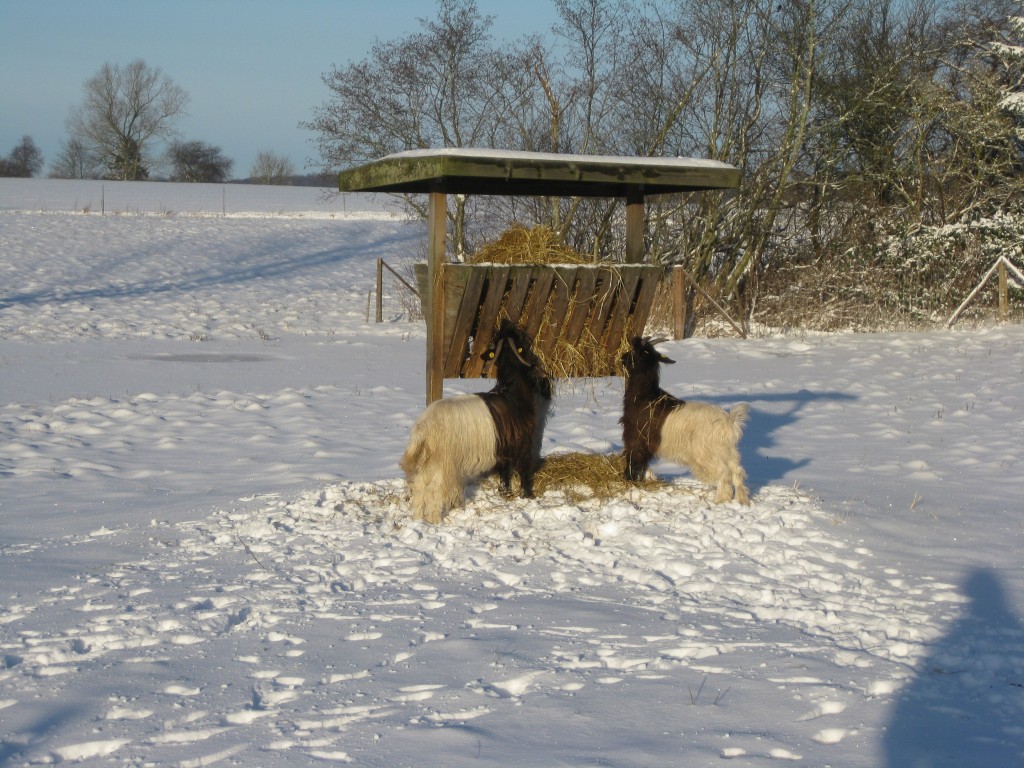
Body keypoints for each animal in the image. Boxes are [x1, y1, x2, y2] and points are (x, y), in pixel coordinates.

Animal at [397, 319, 548, 524]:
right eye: (522, 345)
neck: (512, 389)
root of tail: (423, 427)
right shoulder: (522, 441)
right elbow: (523, 469)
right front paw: (528, 495)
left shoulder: (503, 448)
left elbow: (505, 471)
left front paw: (505, 492)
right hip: (442, 462)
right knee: (434, 489)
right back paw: (435, 520)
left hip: (426, 461)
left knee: (420, 486)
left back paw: (418, 519)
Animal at [618, 335, 749, 505]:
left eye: (635, 350)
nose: (622, 358)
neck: (645, 397)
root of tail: (729, 422)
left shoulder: (635, 441)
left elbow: (633, 465)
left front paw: (629, 483)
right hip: (729, 452)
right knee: (737, 472)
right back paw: (742, 501)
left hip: (706, 453)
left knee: (724, 473)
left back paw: (720, 500)